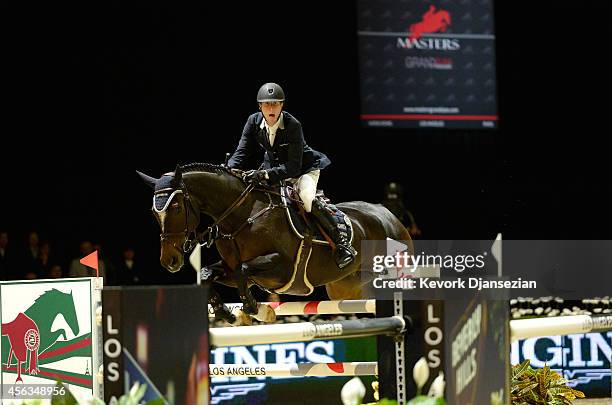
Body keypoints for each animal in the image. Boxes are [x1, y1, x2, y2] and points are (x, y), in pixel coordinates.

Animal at [138, 163, 414, 324]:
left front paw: (251, 307)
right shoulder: (232, 268)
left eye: (175, 207)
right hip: (344, 289)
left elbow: (243, 270)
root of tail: (389, 215)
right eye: (153, 213)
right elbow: (209, 274)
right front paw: (224, 311)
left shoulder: (281, 269)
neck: (241, 216)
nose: (170, 261)